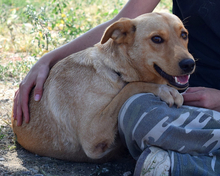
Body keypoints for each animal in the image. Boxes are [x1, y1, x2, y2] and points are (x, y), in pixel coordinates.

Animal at [11, 12, 194, 163]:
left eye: (184, 35)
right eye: (156, 39)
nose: (189, 64)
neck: (116, 71)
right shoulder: (93, 135)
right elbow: (130, 88)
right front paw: (165, 91)